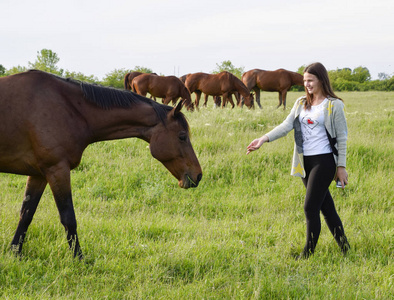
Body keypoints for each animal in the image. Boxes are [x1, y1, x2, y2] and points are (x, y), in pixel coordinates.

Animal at [0, 69, 202, 258]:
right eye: (182, 136)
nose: (198, 175)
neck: (68, 109)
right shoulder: (57, 170)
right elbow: (68, 218)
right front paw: (79, 259)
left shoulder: (39, 174)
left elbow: (26, 214)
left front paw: (15, 252)